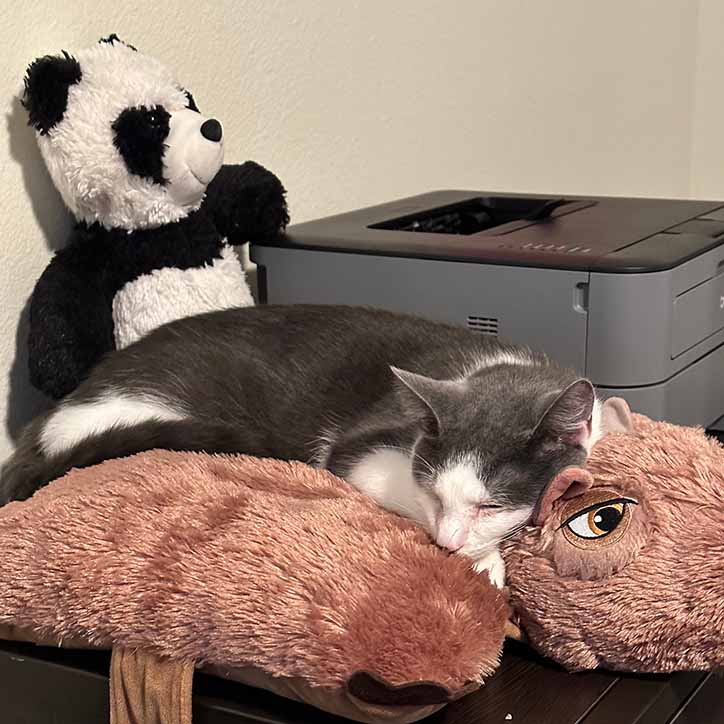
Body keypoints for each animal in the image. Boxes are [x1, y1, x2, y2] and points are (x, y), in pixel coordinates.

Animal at [0, 302, 600, 584]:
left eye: (490, 504)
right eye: (432, 495)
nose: (449, 543)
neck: (493, 367)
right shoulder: (358, 452)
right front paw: (485, 560)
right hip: (138, 410)